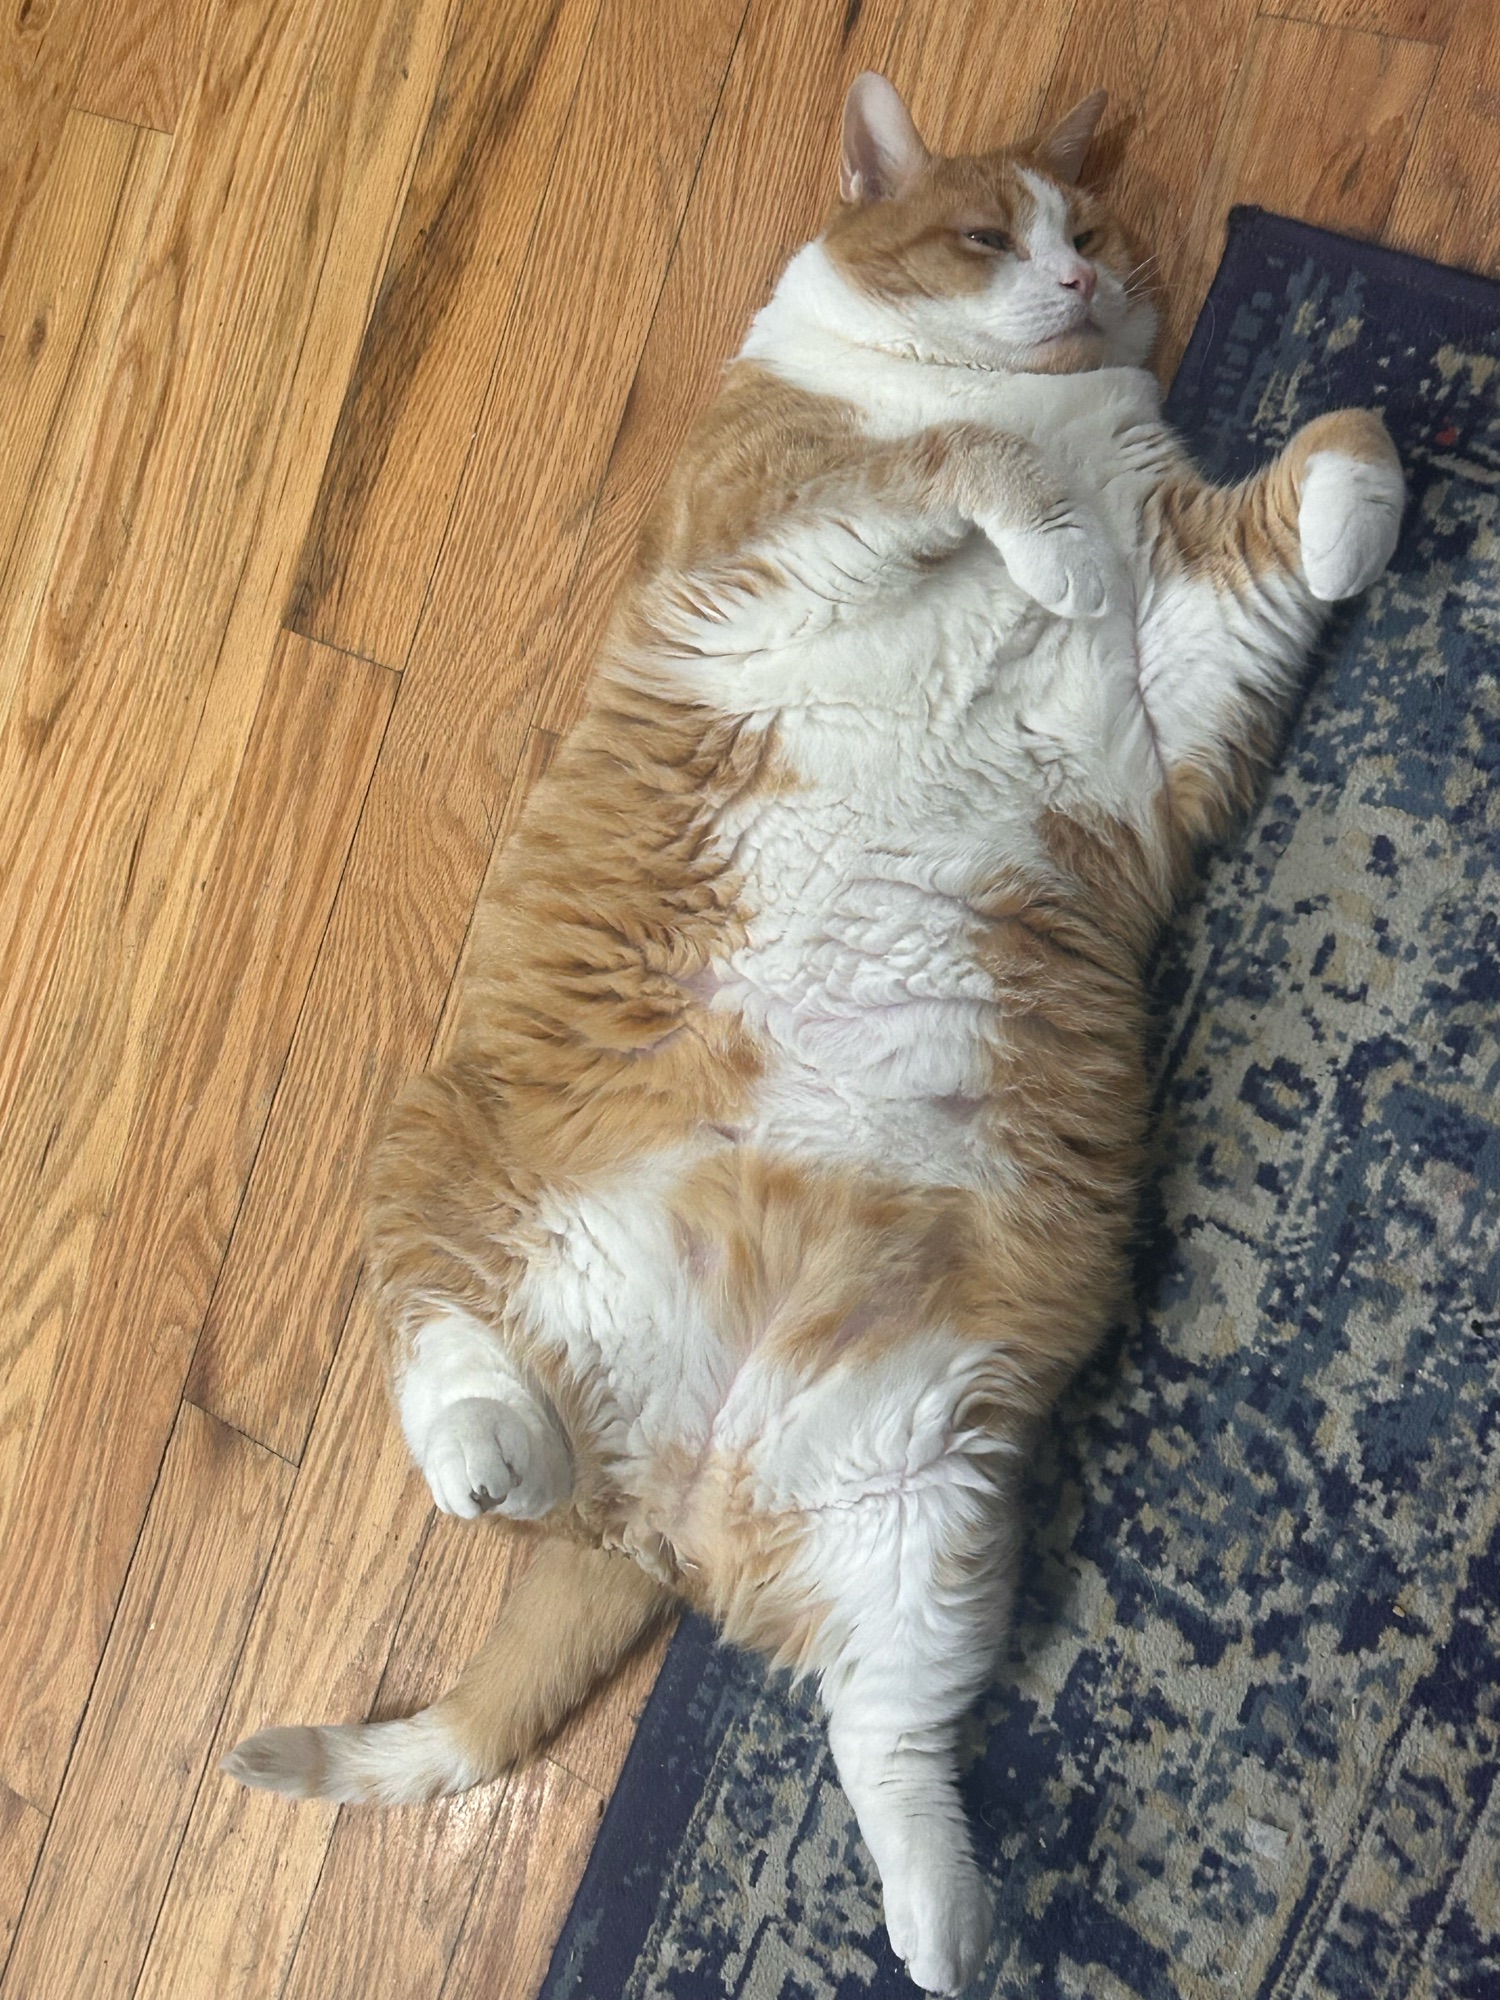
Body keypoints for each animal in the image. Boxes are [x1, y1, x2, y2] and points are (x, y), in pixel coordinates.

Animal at [224, 73, 1404, 1995]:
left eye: (1099, 235)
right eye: (990, 237)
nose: (1080, 286)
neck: (1040, 396)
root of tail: (660, 1490)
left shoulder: (1181, 662)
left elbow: (1344, 438)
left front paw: (1358, 519)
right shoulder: (785, 523)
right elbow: (967, 470)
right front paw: (1045, 533)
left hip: (931, 1491)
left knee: (884, 1731)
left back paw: (945, 1927)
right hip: (436, 1151)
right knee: (441, 1346)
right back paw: (494, 1452)